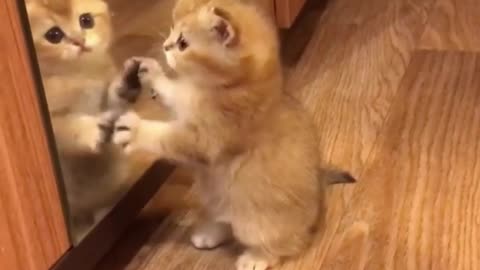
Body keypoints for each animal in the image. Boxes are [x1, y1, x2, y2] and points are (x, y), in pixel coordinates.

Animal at [26, 0, 136, 242]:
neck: (78, 75)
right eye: (54, 35)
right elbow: (67, 127)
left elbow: (112, 101)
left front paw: (124, 84)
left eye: (86, 20)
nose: (80, 41)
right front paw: (92, 130)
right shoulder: (49, 126)